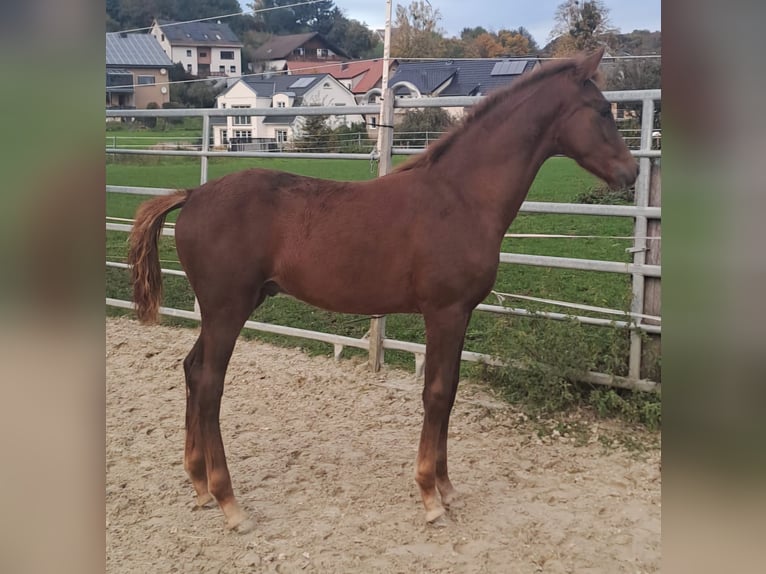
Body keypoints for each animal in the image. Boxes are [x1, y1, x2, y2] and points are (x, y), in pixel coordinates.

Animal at [129, 49, 640, 536]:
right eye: (602, 110)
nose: (632, 172)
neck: (460, 196)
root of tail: (192, 196)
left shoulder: (462, 314)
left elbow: (451, 389)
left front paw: (447, 487)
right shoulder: (444, 312)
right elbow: (437, 393)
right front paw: (431, 498)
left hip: (228, 308)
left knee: (192, 370)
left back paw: (199, 485)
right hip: (227, 309)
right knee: (209, 384)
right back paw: (229, 503)